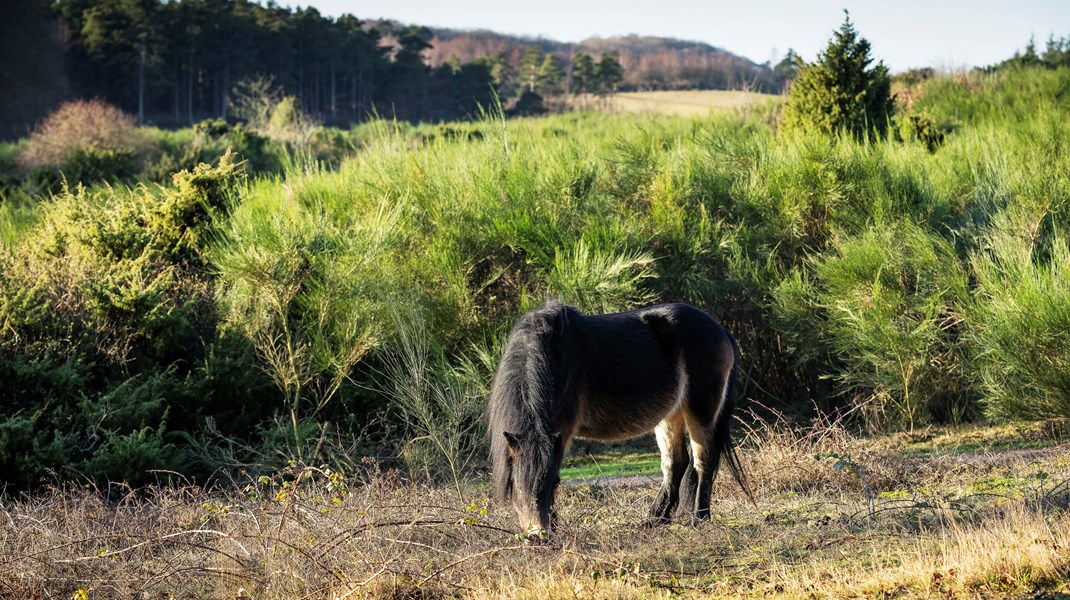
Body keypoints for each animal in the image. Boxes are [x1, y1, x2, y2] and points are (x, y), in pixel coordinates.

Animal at [487, 299, 749, 532]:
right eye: (515, 482)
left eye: (556, 482)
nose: (539, 535)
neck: (554, 355)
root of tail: (721, 330)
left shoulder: (562, 428)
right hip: (670, 415)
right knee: (676, 463)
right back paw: (653, 520)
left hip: (699, 411)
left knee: (702, 461)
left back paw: (699, 519)